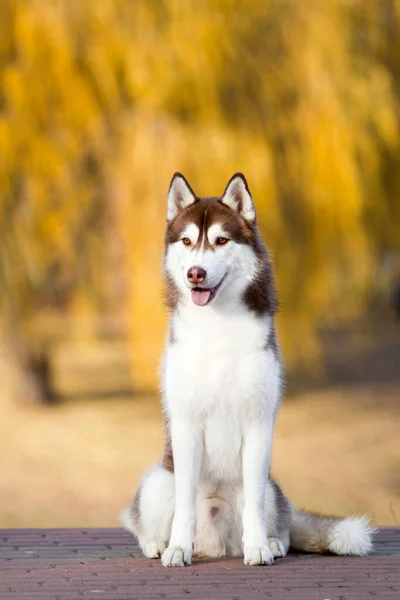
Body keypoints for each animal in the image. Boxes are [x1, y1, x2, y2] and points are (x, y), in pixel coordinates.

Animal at [120, 171, 374, 564]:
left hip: (272, 489)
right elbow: (184, 506)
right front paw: (177, 548)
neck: (218, 324)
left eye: (221, 240)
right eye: (187, 241)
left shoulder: (258, 423)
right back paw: (159, 545)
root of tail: (214, 545)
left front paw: (258, 548)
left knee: (281, 525)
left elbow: (253, 503)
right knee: (148, 520)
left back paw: (271, 543)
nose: (195, 273)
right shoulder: (186, 425)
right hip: (157, 483)